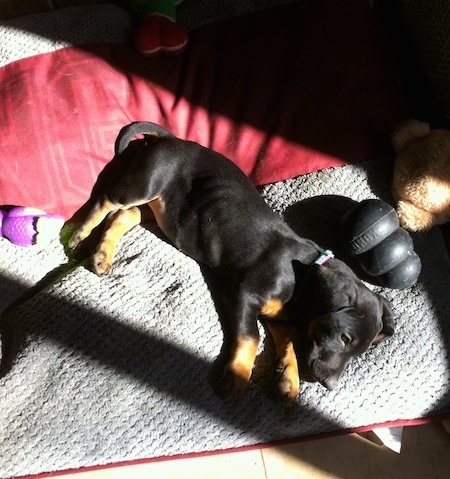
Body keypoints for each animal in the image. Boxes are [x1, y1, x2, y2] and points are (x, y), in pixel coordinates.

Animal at [69, 122, 394, 404]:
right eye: (344, 337)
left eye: (360, 351)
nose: (330, 385)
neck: (301, 281)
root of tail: (170, 139)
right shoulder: (244, 295)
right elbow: (251, 336)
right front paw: (236, 376)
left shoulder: (280, 318)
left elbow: (288, 343)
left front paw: (288, 380)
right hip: (145, 183)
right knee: (107, 202)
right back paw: (80, 233)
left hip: (160, 210)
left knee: (124, 216)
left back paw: (102, 254)